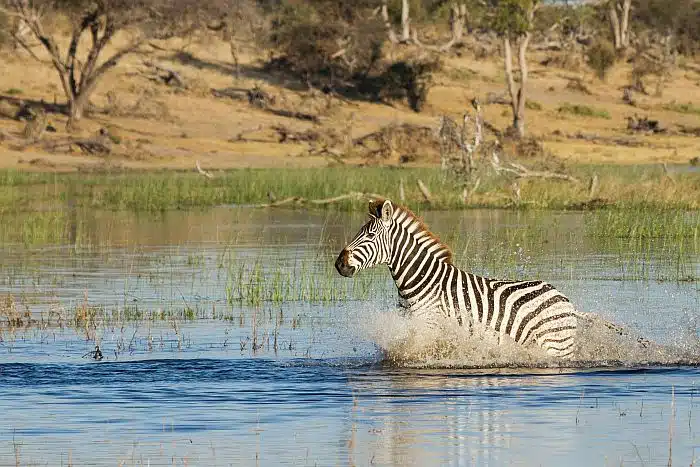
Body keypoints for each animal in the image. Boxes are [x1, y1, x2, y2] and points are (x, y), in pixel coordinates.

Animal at [336, 197, 648, 358]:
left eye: (370, 236)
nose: (339, 264)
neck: (422, 282)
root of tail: (567, 302)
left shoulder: (429, 328)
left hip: (556, 346)